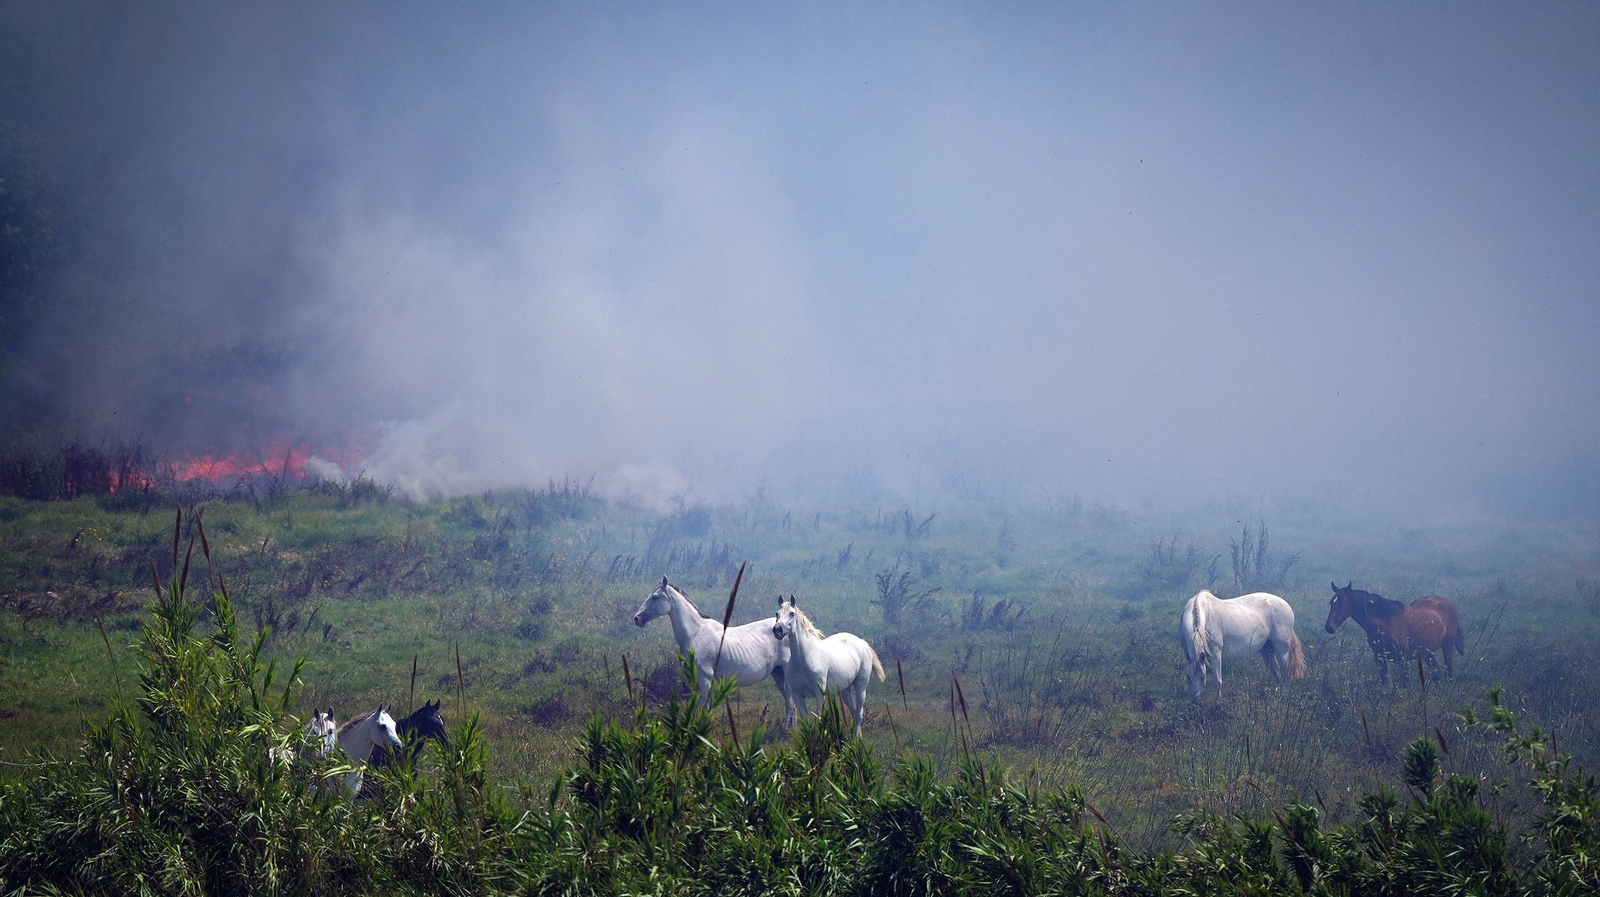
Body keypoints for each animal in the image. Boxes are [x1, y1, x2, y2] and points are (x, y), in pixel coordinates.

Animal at [633, 576, 795, 724]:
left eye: (654, 597)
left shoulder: (705, 677)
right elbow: (696, 706)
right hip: (778, 673)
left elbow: (705, 707)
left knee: (791, 704)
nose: (637, 618)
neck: (696, 634)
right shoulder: (694, 679)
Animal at [771, 595, 885, 736]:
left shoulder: (820, 694)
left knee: (859, 714)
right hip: (845, 690)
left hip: (861, 686)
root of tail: (863, 643)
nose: (777, 629)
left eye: (792, 613)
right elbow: (805, 720)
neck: (803, 660)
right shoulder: (798, 695)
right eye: (777, 613)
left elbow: (820, 717)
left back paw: (857, 737)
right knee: (853, 711)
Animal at [1325, 582, 1463, 682]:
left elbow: (1404, 683)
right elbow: (1385, 681)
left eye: (1342, 603)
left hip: (1447, 647)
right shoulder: (1379, 658)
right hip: (1428, 653)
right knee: (1436, 672)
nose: (1329, 627)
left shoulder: (1403, 659)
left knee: (1449, 672)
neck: (1387, 622)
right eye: (1331, 602)